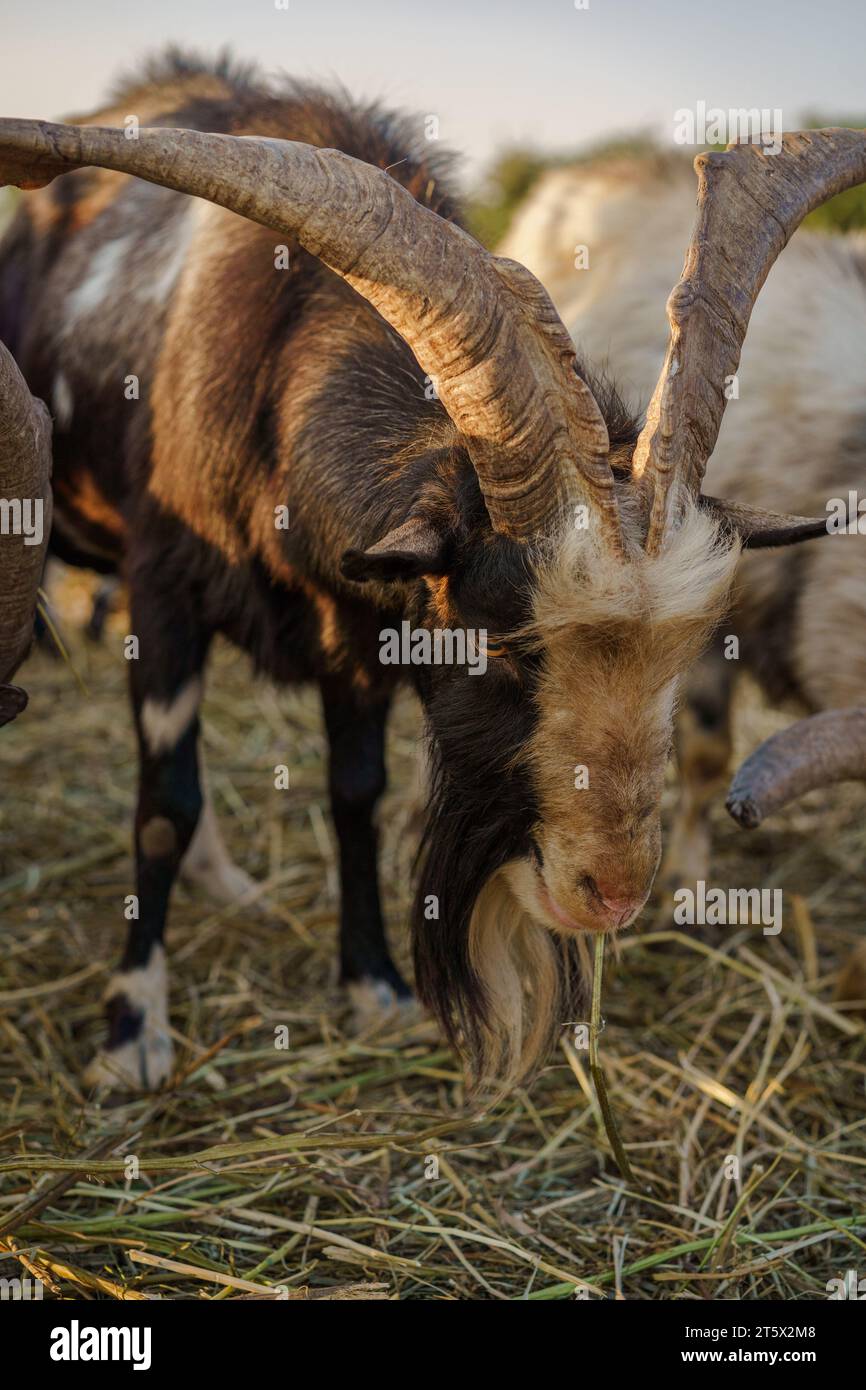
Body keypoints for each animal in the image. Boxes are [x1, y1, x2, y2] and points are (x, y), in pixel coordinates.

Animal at [1, 56, 861, 1092]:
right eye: (502, 649)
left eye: (679, 658)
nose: (611, 893)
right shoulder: (163, 590)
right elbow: (164, 802)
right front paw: (132, 1030)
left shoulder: (363, 635)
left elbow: (356, 795)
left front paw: (372, 982)